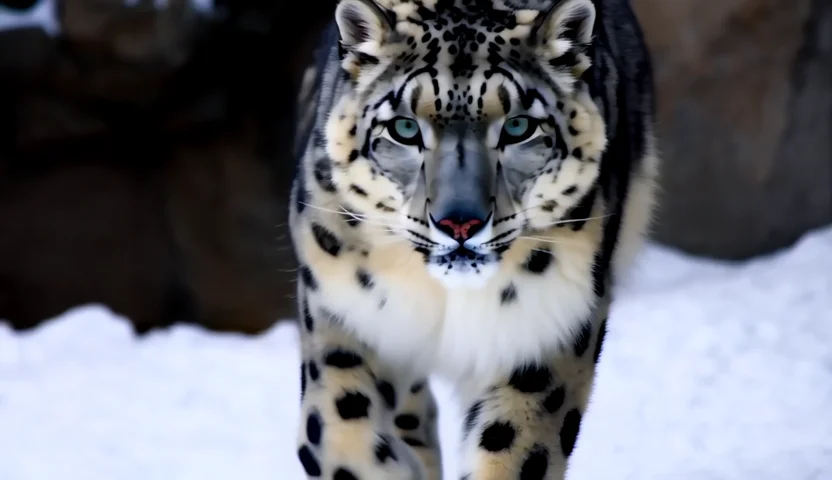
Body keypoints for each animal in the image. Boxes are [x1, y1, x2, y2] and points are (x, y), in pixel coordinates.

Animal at [289, 0, 659, 478]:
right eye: (404, 129)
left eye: (519, 126)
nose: (460, 223)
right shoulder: (342, 316)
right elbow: (338, 434)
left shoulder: (546, 332)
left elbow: (513, 447)